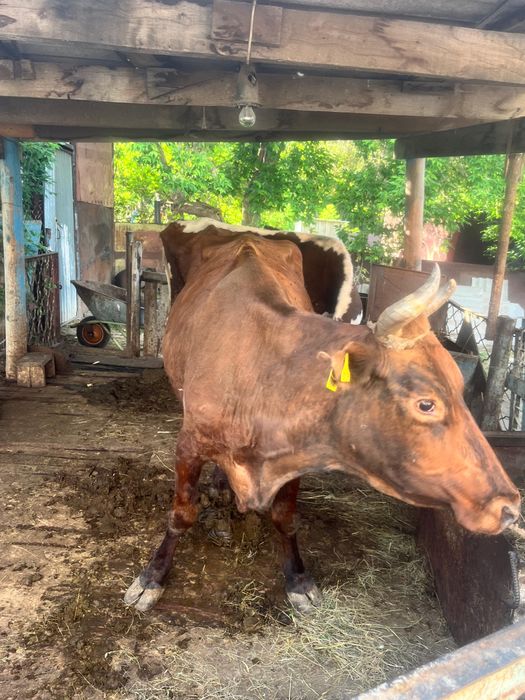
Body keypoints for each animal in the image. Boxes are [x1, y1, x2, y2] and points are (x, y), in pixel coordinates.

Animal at [124, 220, 520, 614]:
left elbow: (285, 519)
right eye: (426, 404)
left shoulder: (293, 456)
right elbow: (181, 514)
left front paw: (298, 579)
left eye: (459, 385)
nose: (508, 506)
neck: (260, 373)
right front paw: (152, 577)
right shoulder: (189, 444)